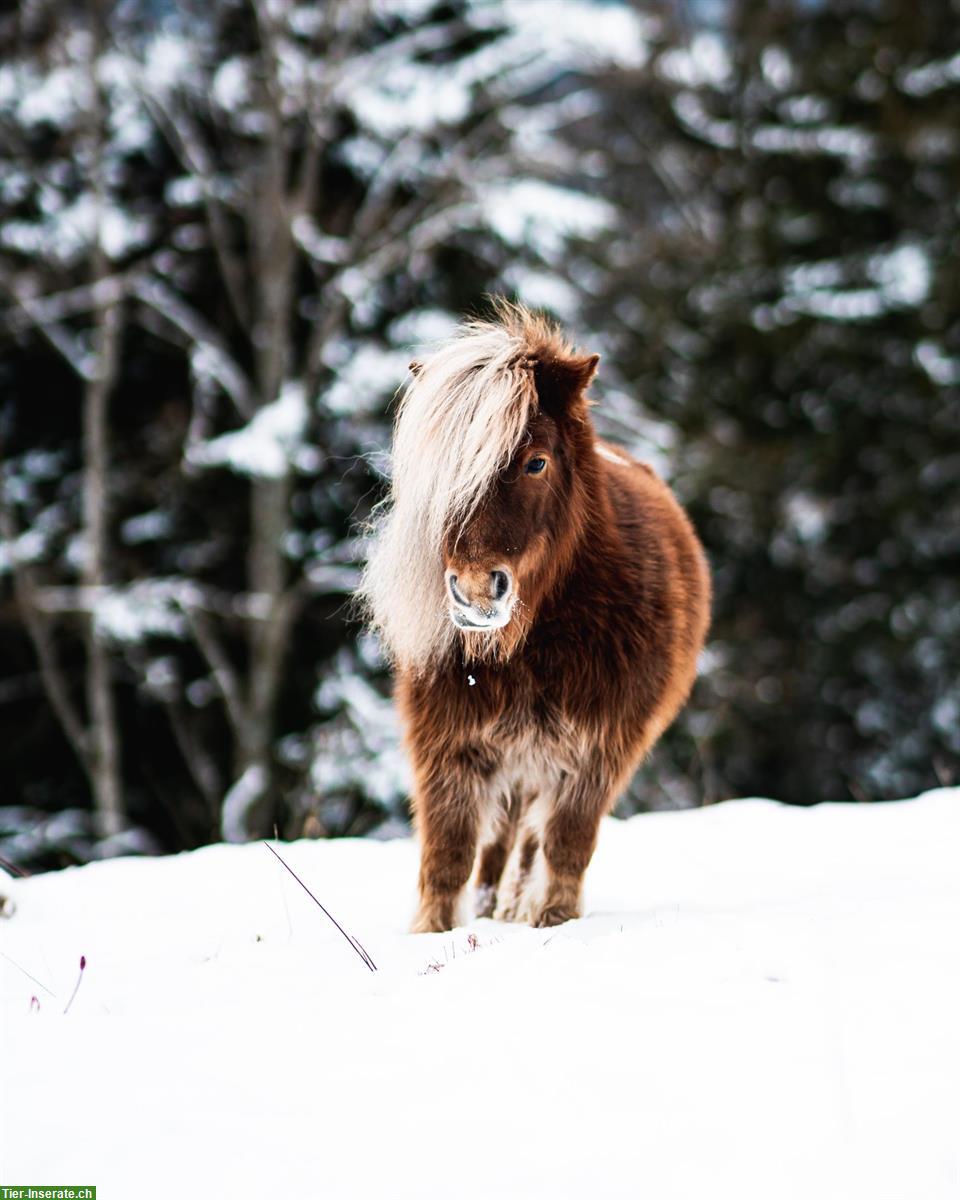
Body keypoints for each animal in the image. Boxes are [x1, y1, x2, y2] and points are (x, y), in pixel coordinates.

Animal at [355, 304, 710, 931]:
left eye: (535, 463)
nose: (475, 593)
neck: (537, 639)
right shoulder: (449, 747)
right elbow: (447, 859)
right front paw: (434, 934)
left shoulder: (596, 752)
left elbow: (565, 848)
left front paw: (551, 921)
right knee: (500, 843)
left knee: (529, 844)